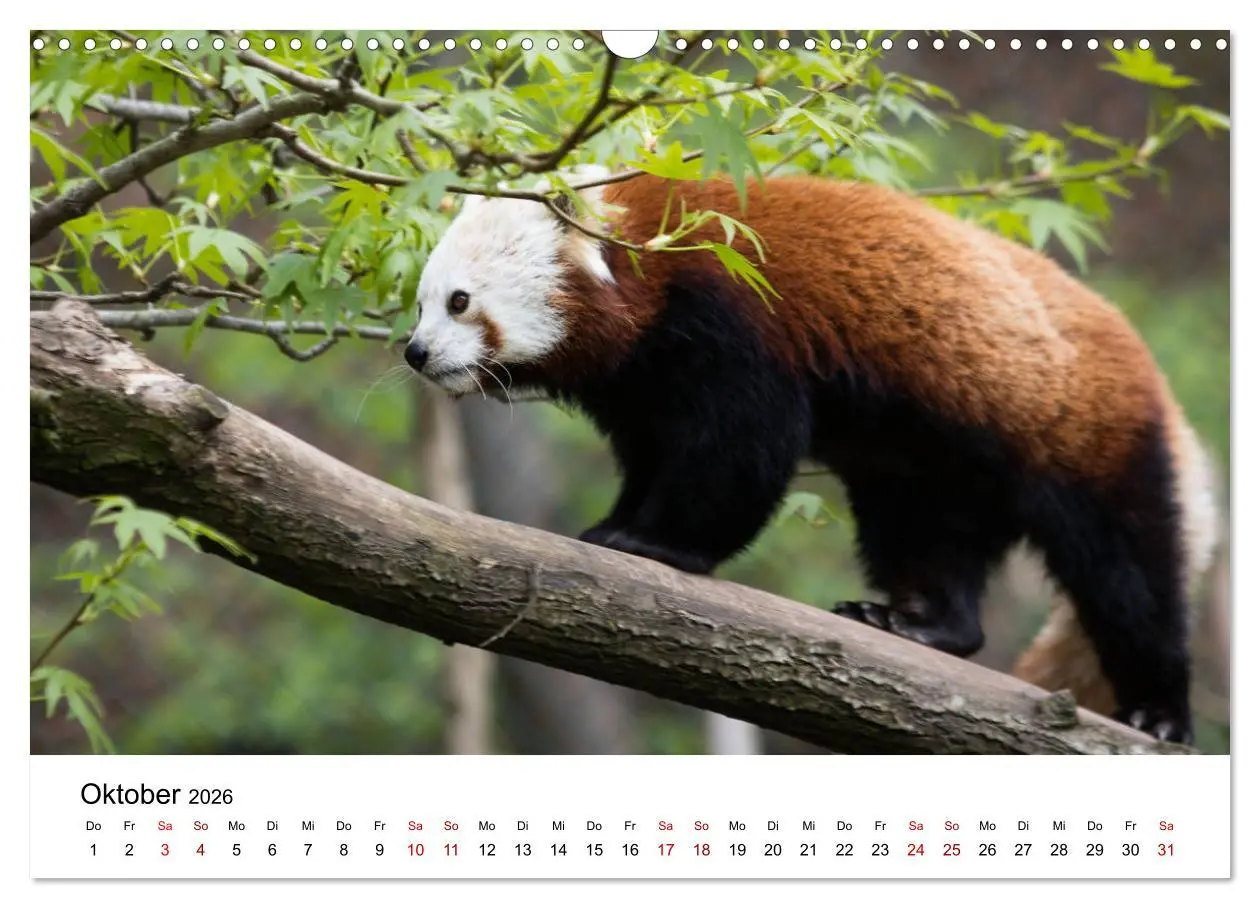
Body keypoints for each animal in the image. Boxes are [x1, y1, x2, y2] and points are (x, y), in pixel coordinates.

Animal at [405, 168, 1218, 744]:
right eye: (420, 304)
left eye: (459, 302)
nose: (414, 353)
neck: (648, 261)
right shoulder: (639, 381)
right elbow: (655, 455)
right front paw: (621, 524)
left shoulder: (732, 316)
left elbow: (742, 451)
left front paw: (657, 542)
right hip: (931, 465)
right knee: (928, 537)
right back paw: (921, 622)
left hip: (1079, 429)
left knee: (1128, 572)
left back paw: (1158, 708)